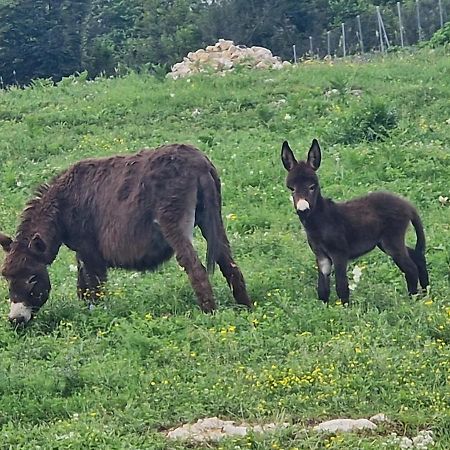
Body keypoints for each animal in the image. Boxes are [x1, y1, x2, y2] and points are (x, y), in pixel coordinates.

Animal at [282, 139, 428, 304]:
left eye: (312, 187)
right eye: (291, 189)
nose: (303, 210)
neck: (320, 221)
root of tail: (407, 205)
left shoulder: (339, 253)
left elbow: (341, 286)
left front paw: (345, 308)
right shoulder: (321, 256)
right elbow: (322, 289)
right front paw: (323, 308)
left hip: (392, 241)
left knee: (411, 268)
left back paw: (412, 300)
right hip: (384, 242)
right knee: (416, 256)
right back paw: (425, 293)